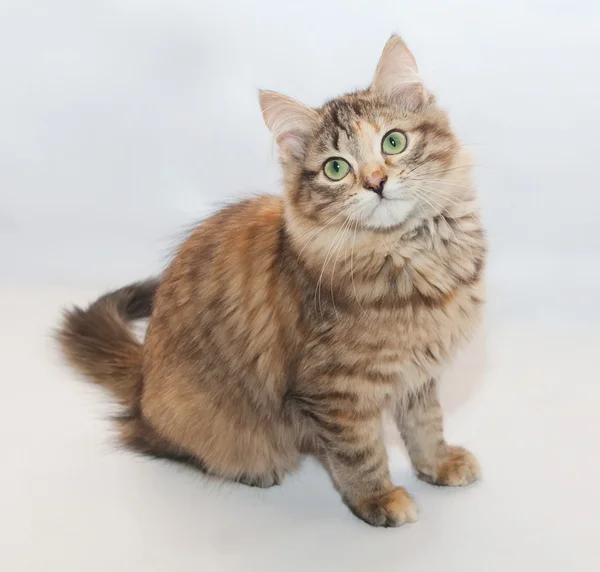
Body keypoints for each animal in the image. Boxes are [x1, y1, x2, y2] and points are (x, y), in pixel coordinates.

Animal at [56, 35, 488, 528]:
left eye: (393, 141)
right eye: (336, 168)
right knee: (158, 442)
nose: (376, 181)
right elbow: (359, 454)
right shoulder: (333, 391)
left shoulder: (418, 373)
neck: (411, 253)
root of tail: (143, 378)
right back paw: (253, 471)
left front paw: (438, 464)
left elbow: (425, 425)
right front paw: (379, 500)